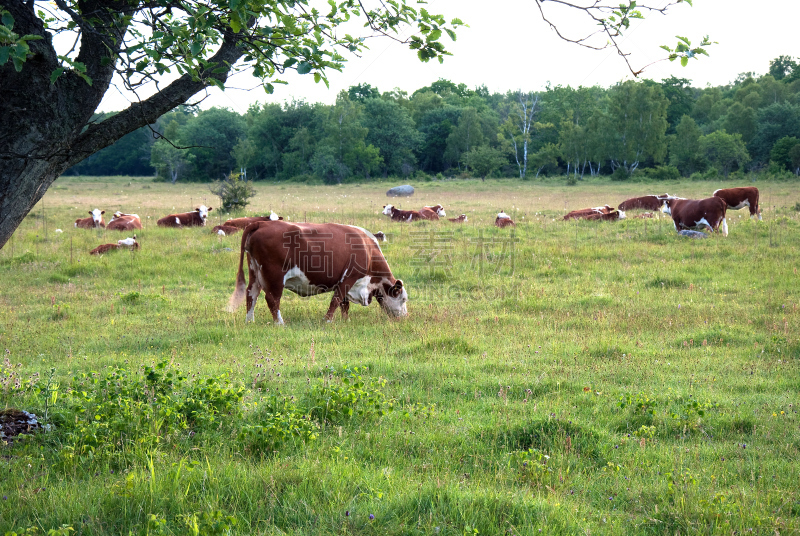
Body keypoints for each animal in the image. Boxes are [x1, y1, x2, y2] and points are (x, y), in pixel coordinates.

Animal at [228, 221, 410, 324]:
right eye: (403, 299)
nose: (404, 317)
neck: (368, 250)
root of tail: (261, 223)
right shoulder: (348, 278)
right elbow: (336, 301)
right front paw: (327, 320)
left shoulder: (345, 282)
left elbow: (344, 304)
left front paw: (345, 320)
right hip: (274, 276)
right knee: (272, 299)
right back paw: (279, 323)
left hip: (254, 273)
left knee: (251, 294)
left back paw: (249, 320)